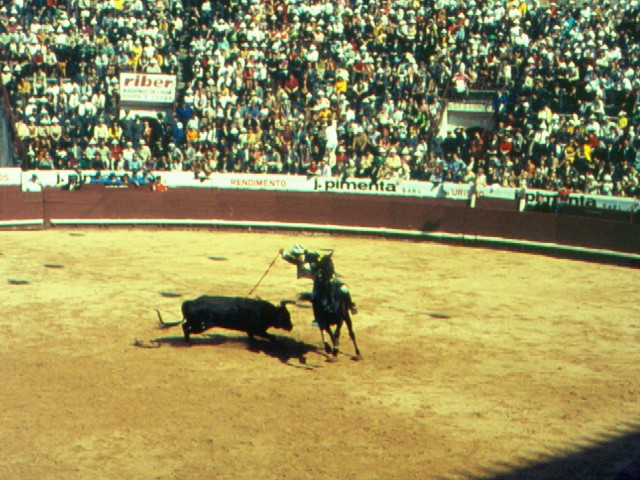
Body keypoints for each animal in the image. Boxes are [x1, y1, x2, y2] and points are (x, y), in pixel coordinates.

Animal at [156, 295, 294, 343]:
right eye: (286, 316)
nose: (291, 326)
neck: (266, 312)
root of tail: (190, 302)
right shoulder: (259, 330)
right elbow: (271, 336)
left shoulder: (251, 330)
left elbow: (251, 335)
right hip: (201, 326)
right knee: (186, 328)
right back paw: (187, 341)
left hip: (196, 323)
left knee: (185, 325)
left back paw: (187, 340)